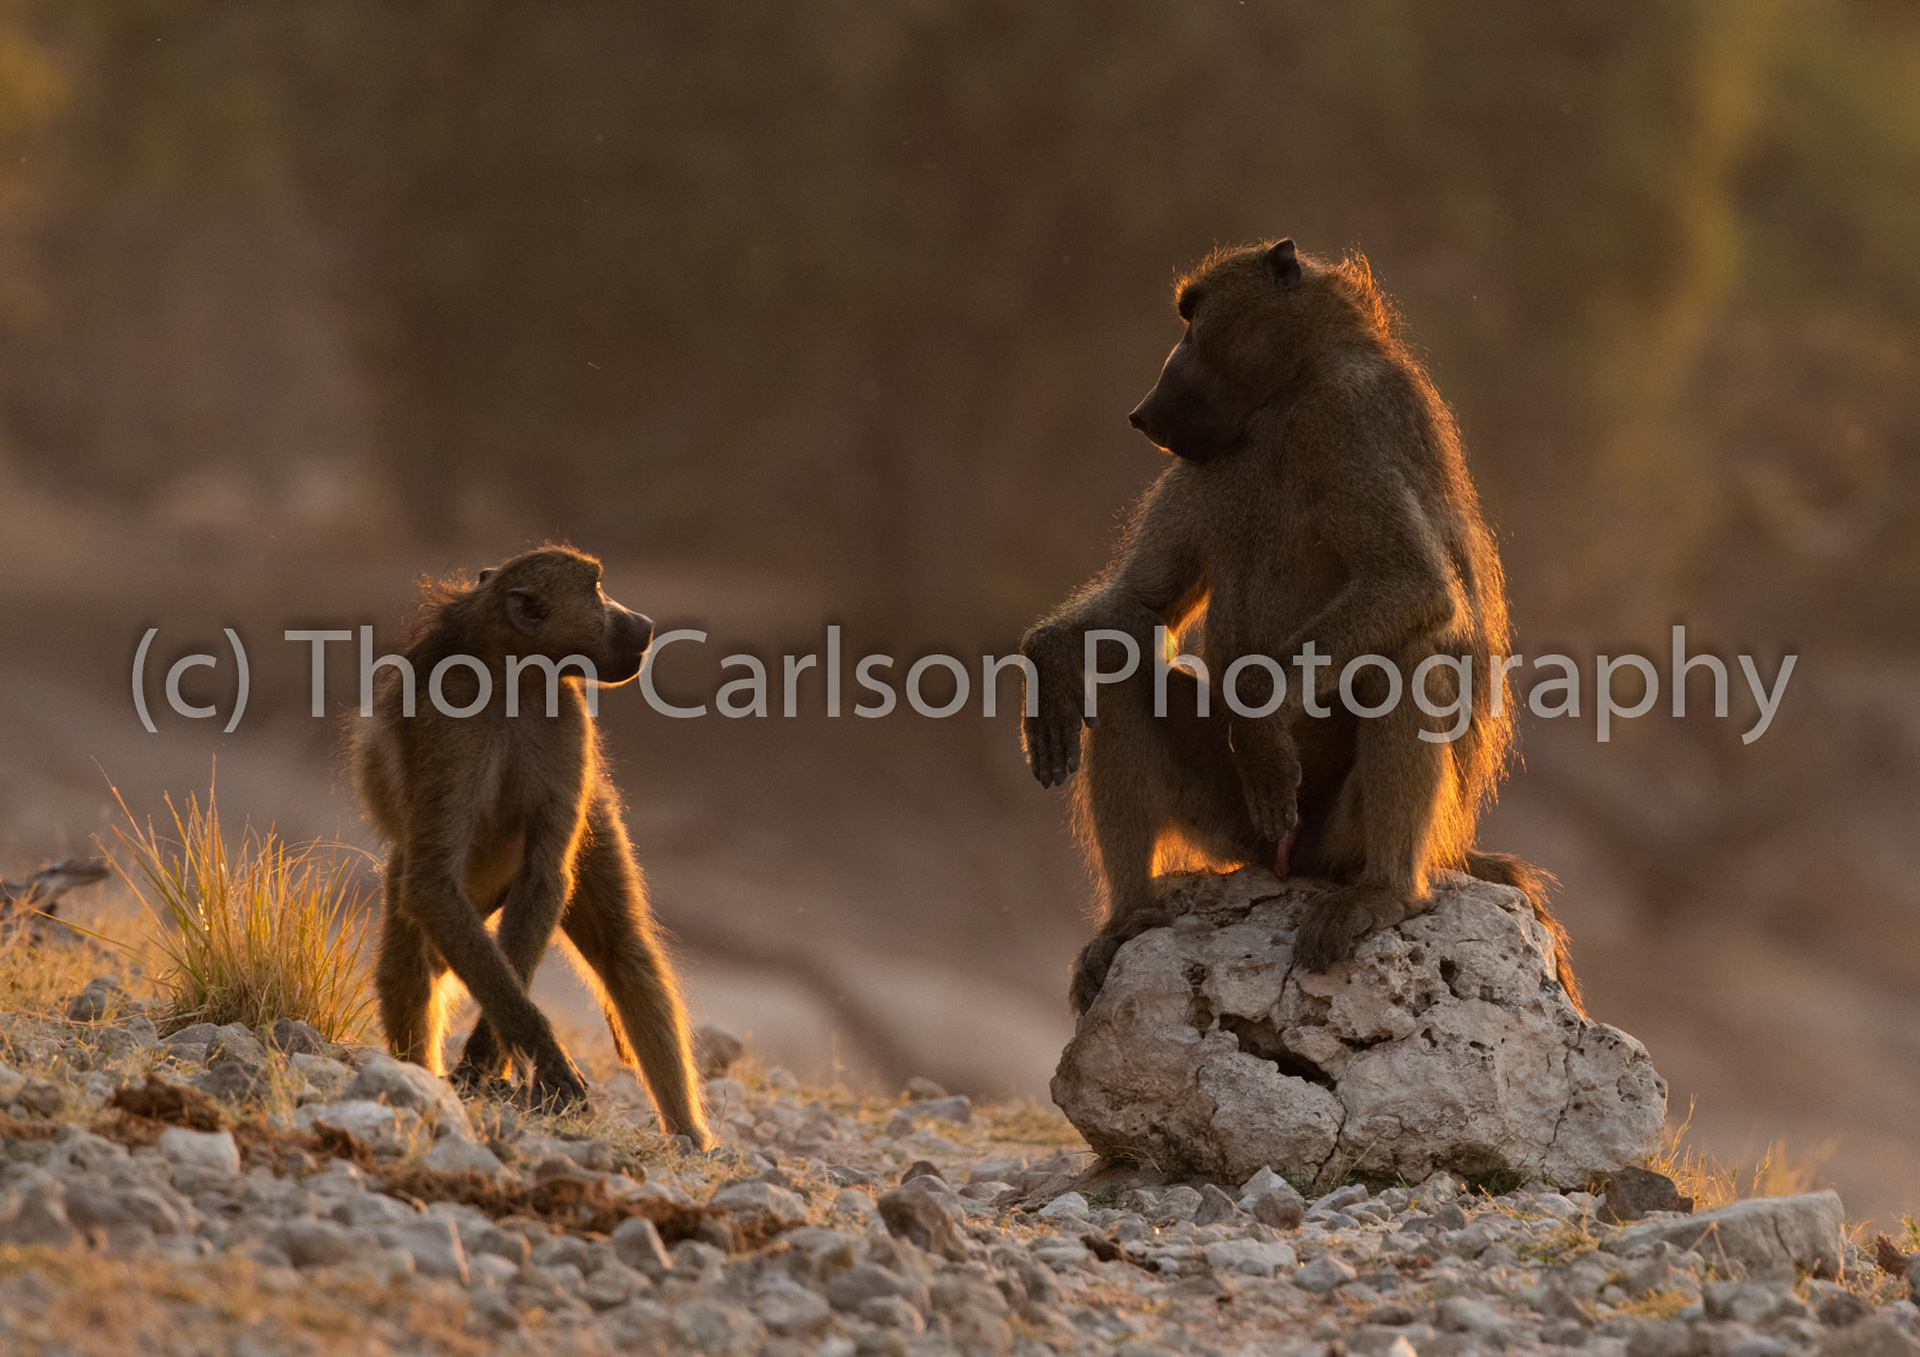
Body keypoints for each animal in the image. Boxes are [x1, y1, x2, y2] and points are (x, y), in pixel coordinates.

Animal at [352, 545, 710, 1144]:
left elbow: (546, 876)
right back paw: (419, 1073)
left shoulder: (568, 722)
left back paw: (689, 1137)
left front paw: (486, 1059)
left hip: (594, 819)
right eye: (597, 589)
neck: (512, 679)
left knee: (625, 953)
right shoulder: (450, 724)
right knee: (409, 959)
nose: (644, 623)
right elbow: (430, 883)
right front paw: (533, 1055)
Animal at [1020, 239, 1578, 1017]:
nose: (1141, 411)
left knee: (1410, 656)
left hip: (1335, 839)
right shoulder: (1200, 461)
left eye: (1192, 319)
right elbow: (1143, 603)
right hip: (1241, 826)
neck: (1285, 394)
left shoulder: (1349, 415)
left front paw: (1259, 721)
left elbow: (1410, 582)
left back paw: (1386, 894)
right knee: (1120, 672)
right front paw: (1045, 662)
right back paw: (1127, 920)